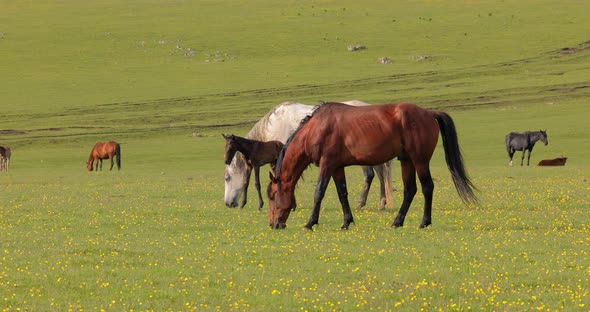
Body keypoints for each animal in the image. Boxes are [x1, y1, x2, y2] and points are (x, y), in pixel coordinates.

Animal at [224, 101, 396, 211]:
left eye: (227, 178)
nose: (227, 203)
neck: (273, 125)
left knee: (370, 175)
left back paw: (363, 203)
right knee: (380, 175)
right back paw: (381, 203)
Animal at [270, 102, 478, 229]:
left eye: (272, 196)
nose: (273, 224)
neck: (316, 128)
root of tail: (429, 113)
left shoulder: (327, 164)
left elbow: (319, 192)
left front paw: (310, 223)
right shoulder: (337, 167)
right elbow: (342, 193)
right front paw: (347, 222)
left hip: (419, 160)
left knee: (427, 187)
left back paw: (424, 222)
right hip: (407, 161)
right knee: (410, 190)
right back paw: (397, 222)